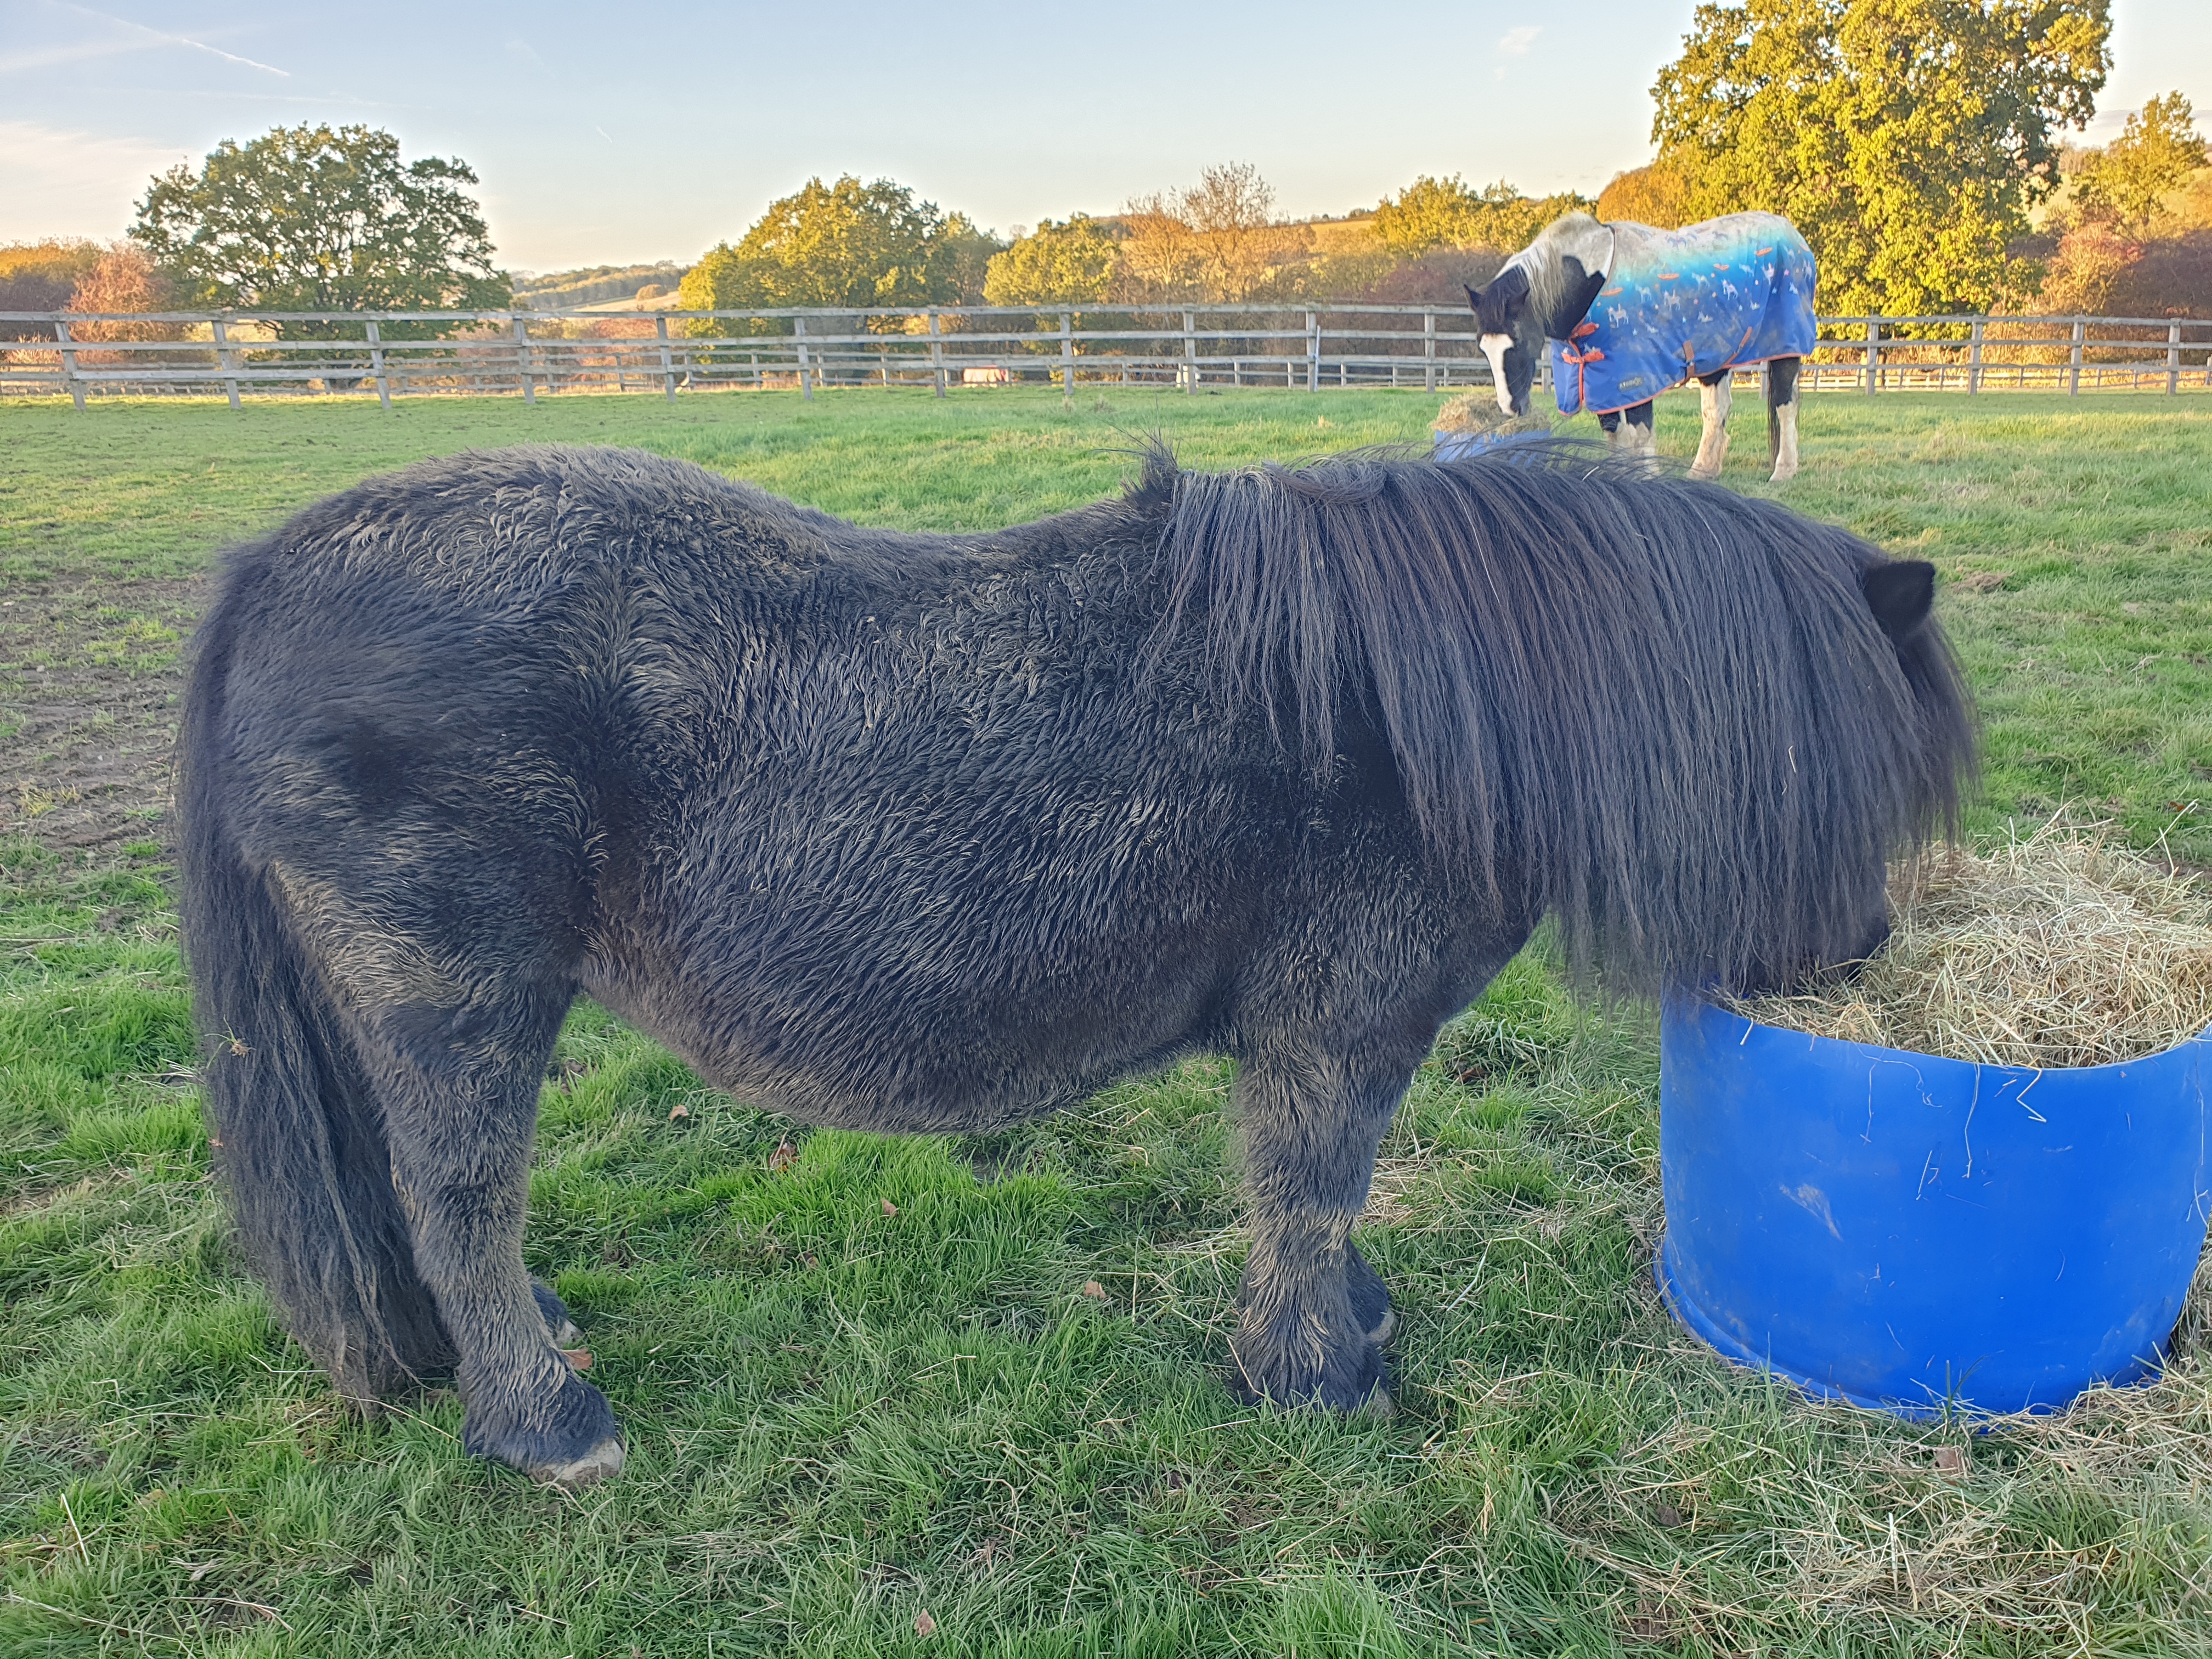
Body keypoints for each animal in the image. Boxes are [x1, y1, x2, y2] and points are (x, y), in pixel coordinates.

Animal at [177, 442, 1973, 1495]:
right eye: (1873, 756)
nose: (1863, 953)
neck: (1413, 704)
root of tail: (270, 562)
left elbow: (1324, 1200)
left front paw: (1345, 1331)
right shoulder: (1337, 1028)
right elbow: (1310, 1185)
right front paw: (1314, 1376)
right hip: (455, 999)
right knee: (459, 1199)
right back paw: (541, 1415)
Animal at [1469, 212, 1814, 479]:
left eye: (1517, 342)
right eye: (1483, 348)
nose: (1511, 408)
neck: (1593, 281)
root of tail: (1794, 237)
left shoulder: (1637, 375)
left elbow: (1640, 430)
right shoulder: (1601, 377)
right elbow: (1613, 430)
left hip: (1785, 349)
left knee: (1785, 405)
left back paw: (1783, 471)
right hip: (1715, 358)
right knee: (1717, 410)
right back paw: (1703, 470)